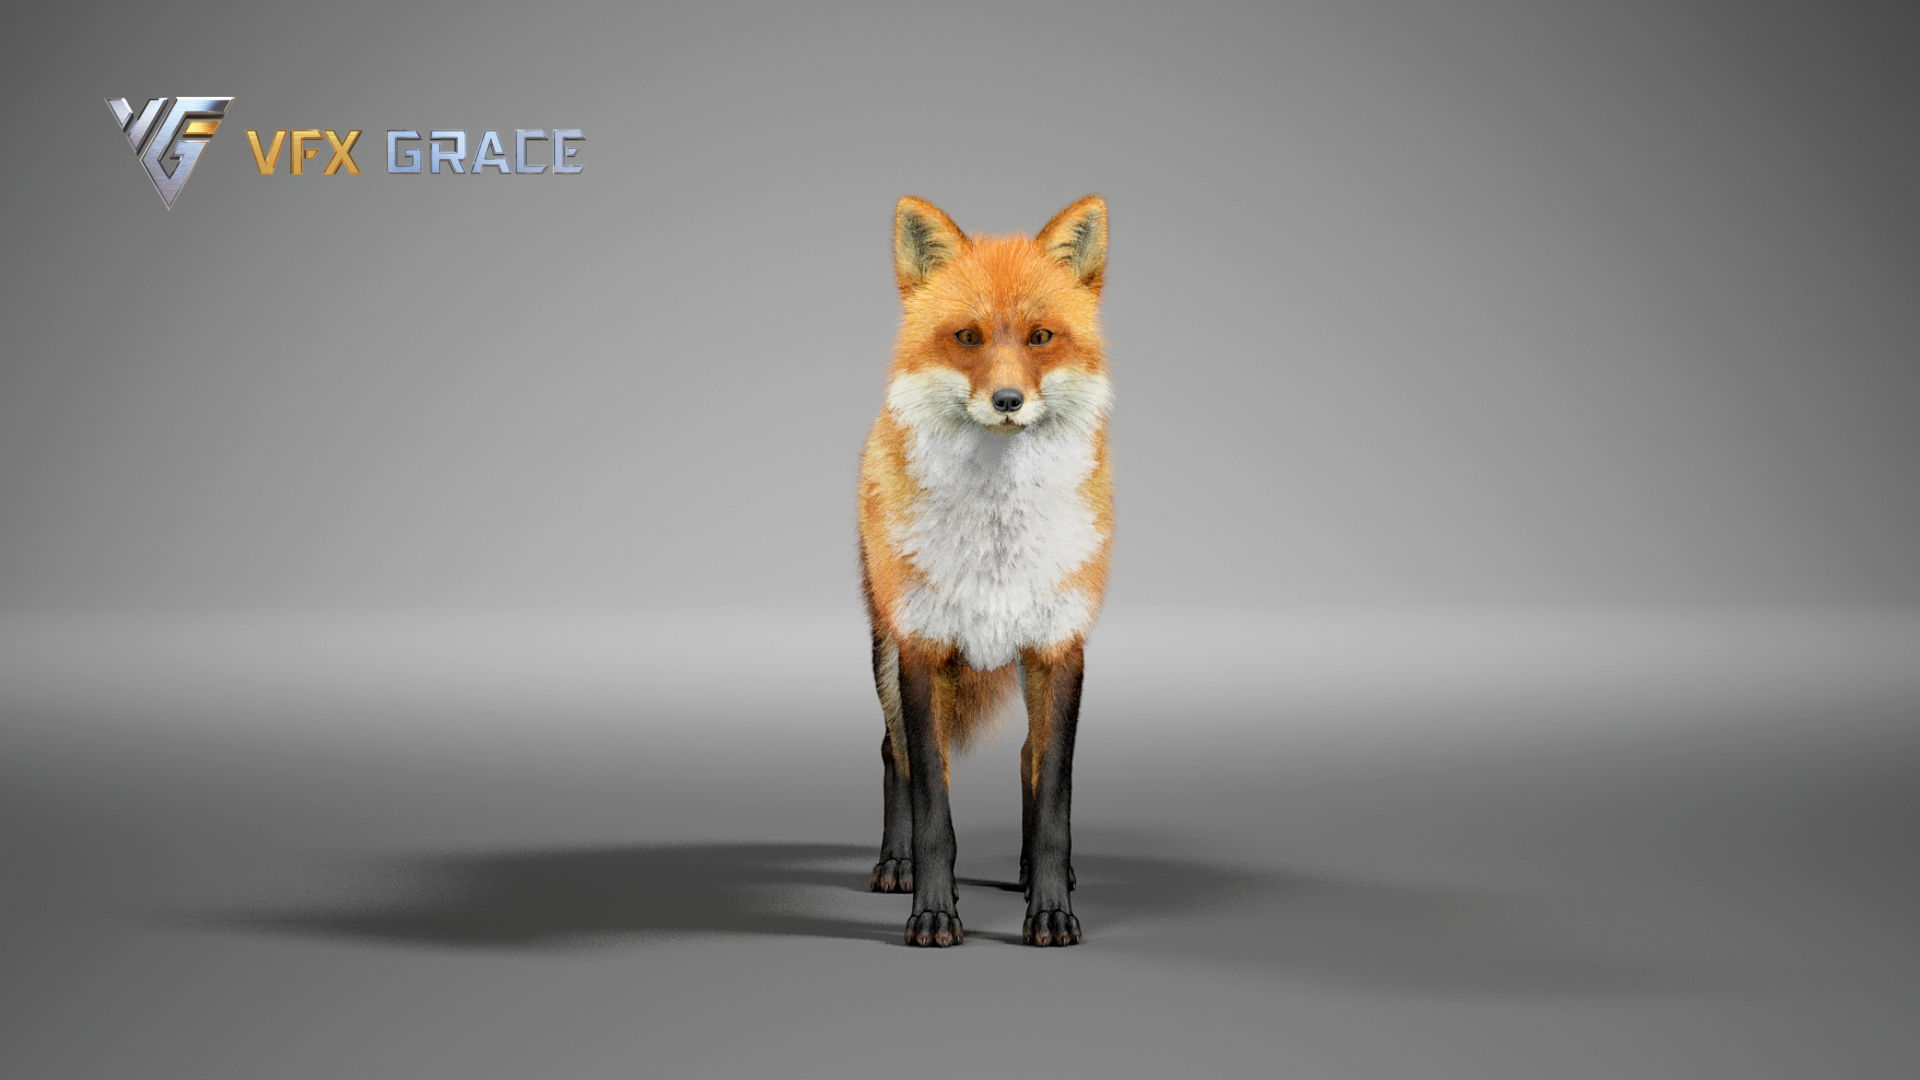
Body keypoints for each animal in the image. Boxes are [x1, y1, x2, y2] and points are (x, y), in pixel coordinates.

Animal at [858, 194, 1113, 948]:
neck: (998, 540)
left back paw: (1032, 876)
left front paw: (1051, 911)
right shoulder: (921, 648)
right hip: (882, 650)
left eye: (1040, 337)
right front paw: (934, 914)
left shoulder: (1060, 647)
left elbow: (1053, 797)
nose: (1007, 401)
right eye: (967, 337)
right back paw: (894, 865)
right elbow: (934, 811)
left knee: (1028, 755)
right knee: (892, 754)